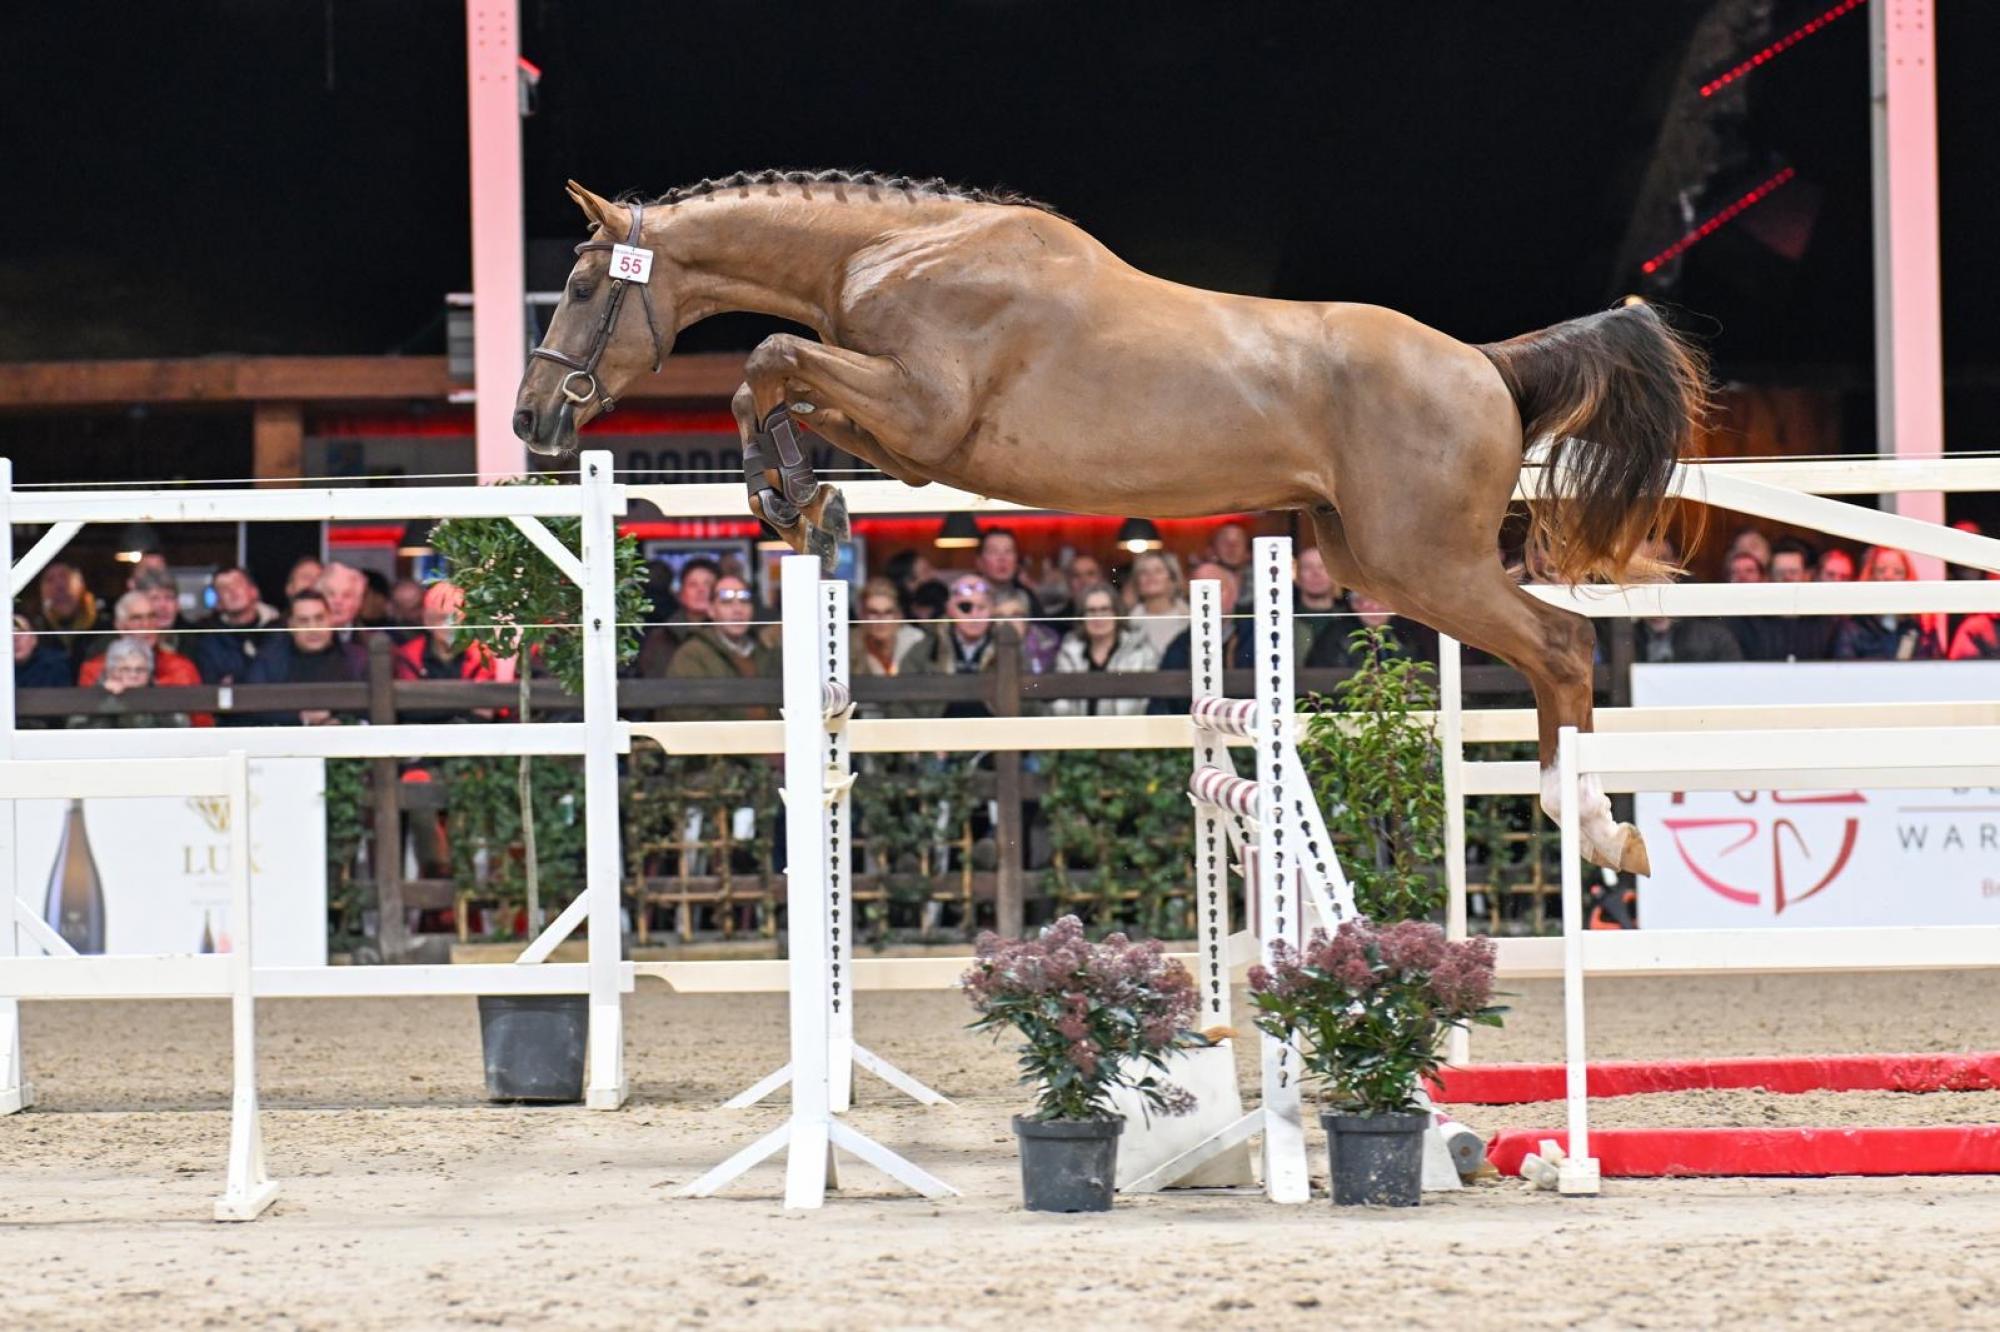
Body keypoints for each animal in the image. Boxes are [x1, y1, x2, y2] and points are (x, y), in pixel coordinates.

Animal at [513, 169, 1708, 876]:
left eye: (582, 286)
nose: (531, 418)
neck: (894, 254)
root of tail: (1487, 365)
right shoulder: (911, 442)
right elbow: (780, 386)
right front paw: (800, 499)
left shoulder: (922, 411)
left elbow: (766, 361)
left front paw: (786, 495)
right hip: (1370, 556)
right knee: (1549, 650)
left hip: (1427, 560)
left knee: (1561, 644)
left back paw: (1594, 825)